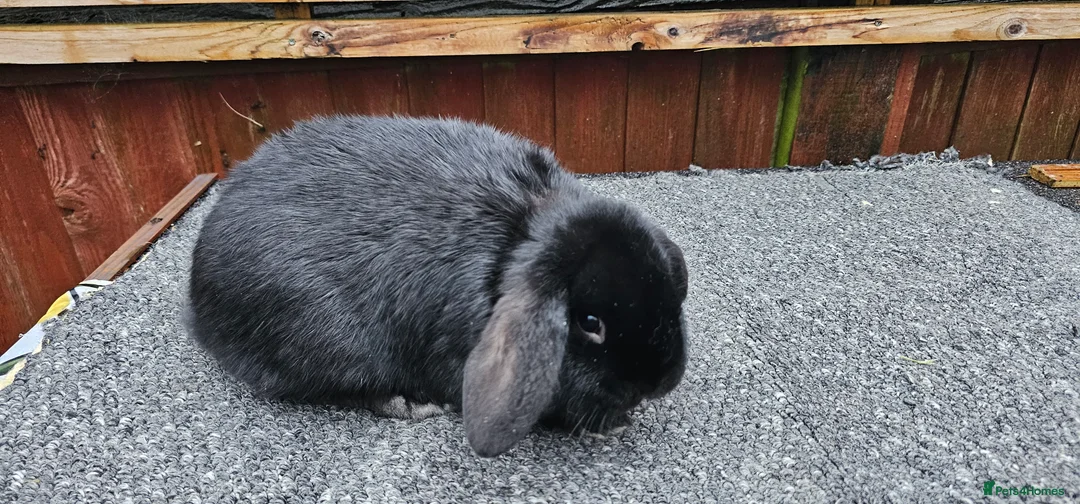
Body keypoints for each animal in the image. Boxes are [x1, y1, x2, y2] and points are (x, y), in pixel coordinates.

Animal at [184, 114, 688, 458]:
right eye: (589, 322)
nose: (657, 384)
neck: (518, 239)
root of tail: (197, 302)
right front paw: (612, 424)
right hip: (327, 343)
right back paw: (409, 404)